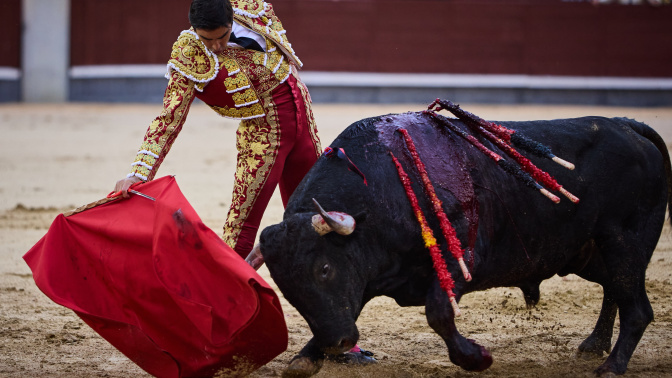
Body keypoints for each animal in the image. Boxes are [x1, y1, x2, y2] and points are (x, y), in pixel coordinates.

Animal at [258, 110, 672, 376]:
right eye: (285, 287)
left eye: (324, 268)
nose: (337, 344)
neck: (381, 188)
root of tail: (628, 126)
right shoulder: (365, 276)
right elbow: (349, 307)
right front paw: (306, 358)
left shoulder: (463, 259)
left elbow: (439, 312)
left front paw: (477, 358)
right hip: (589, 252)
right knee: (616, 290)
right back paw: (594, 345)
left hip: (623, 241)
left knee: (637, 307)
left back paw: (611, 366)